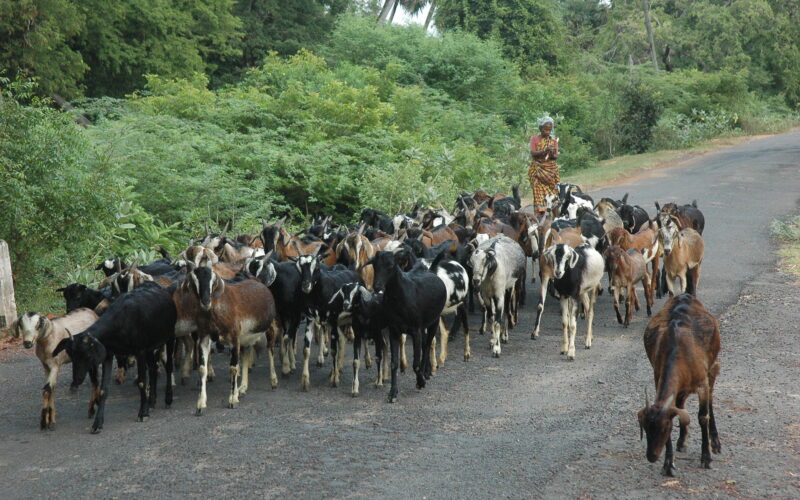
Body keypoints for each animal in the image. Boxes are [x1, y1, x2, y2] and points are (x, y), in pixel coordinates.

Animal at [53, 282, 178, 434]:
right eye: (71, 355)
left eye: (87, 355)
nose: (76, 380)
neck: (121, 322)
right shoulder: (109, 353)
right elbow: (103, 389)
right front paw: (97, 423)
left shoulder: (140, 351)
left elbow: (142, 382)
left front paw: (142, 413)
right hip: (150, 346)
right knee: (154, 369)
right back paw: (152, 402)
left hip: (170, 336)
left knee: (169, 367)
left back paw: (168, 399)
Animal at [640, 294, 720, 474]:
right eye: (646, 427)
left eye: (664, 428)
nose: (651, 456)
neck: (679, 351)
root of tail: (686, 295)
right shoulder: (658, 377)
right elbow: (676, 411)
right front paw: (668, 464)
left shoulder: (702, 383)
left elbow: (703, 416)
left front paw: (706, 458)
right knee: (681, 405)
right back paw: (682, 441)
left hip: (713, 367)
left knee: (710, 401)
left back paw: (716, 442)